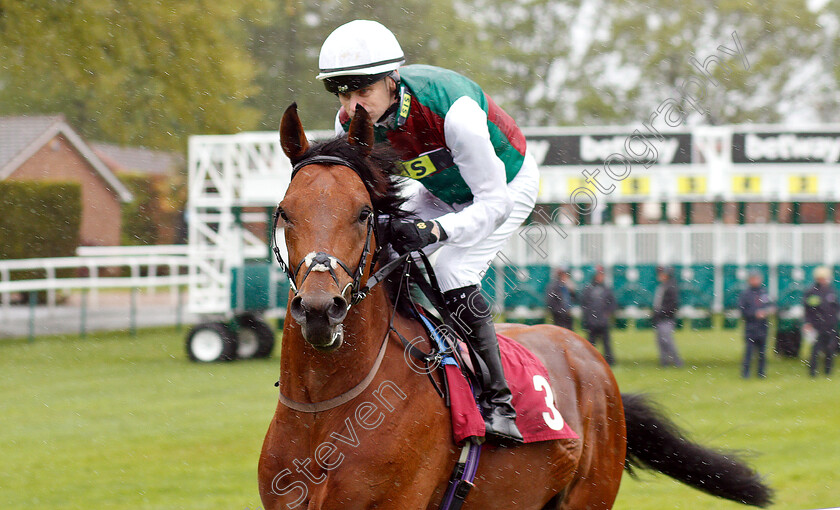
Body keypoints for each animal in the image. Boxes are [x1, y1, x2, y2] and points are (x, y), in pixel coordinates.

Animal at [258, 104, 776, 510]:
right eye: (285, 212)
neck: (325, 406)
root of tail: (590, 358)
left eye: (364, 213)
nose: (320, 309)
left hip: (588, 497)